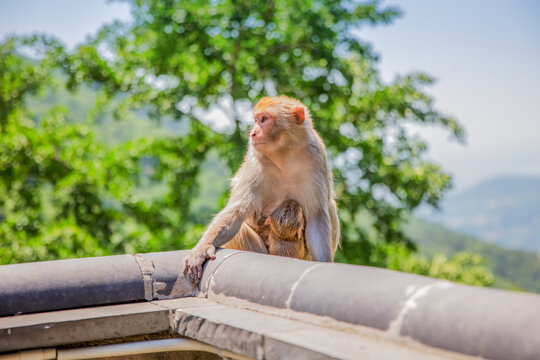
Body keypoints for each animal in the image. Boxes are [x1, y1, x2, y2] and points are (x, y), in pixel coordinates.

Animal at [184, 95, 340, 282]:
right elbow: (237, 210)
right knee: (241, 231)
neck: (284, 156)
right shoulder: (255, 161)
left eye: (264, 119)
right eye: (256, 120)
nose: (253, 133)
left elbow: (317, 215)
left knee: (330, 206)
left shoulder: (316, 160)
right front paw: (202, 249)